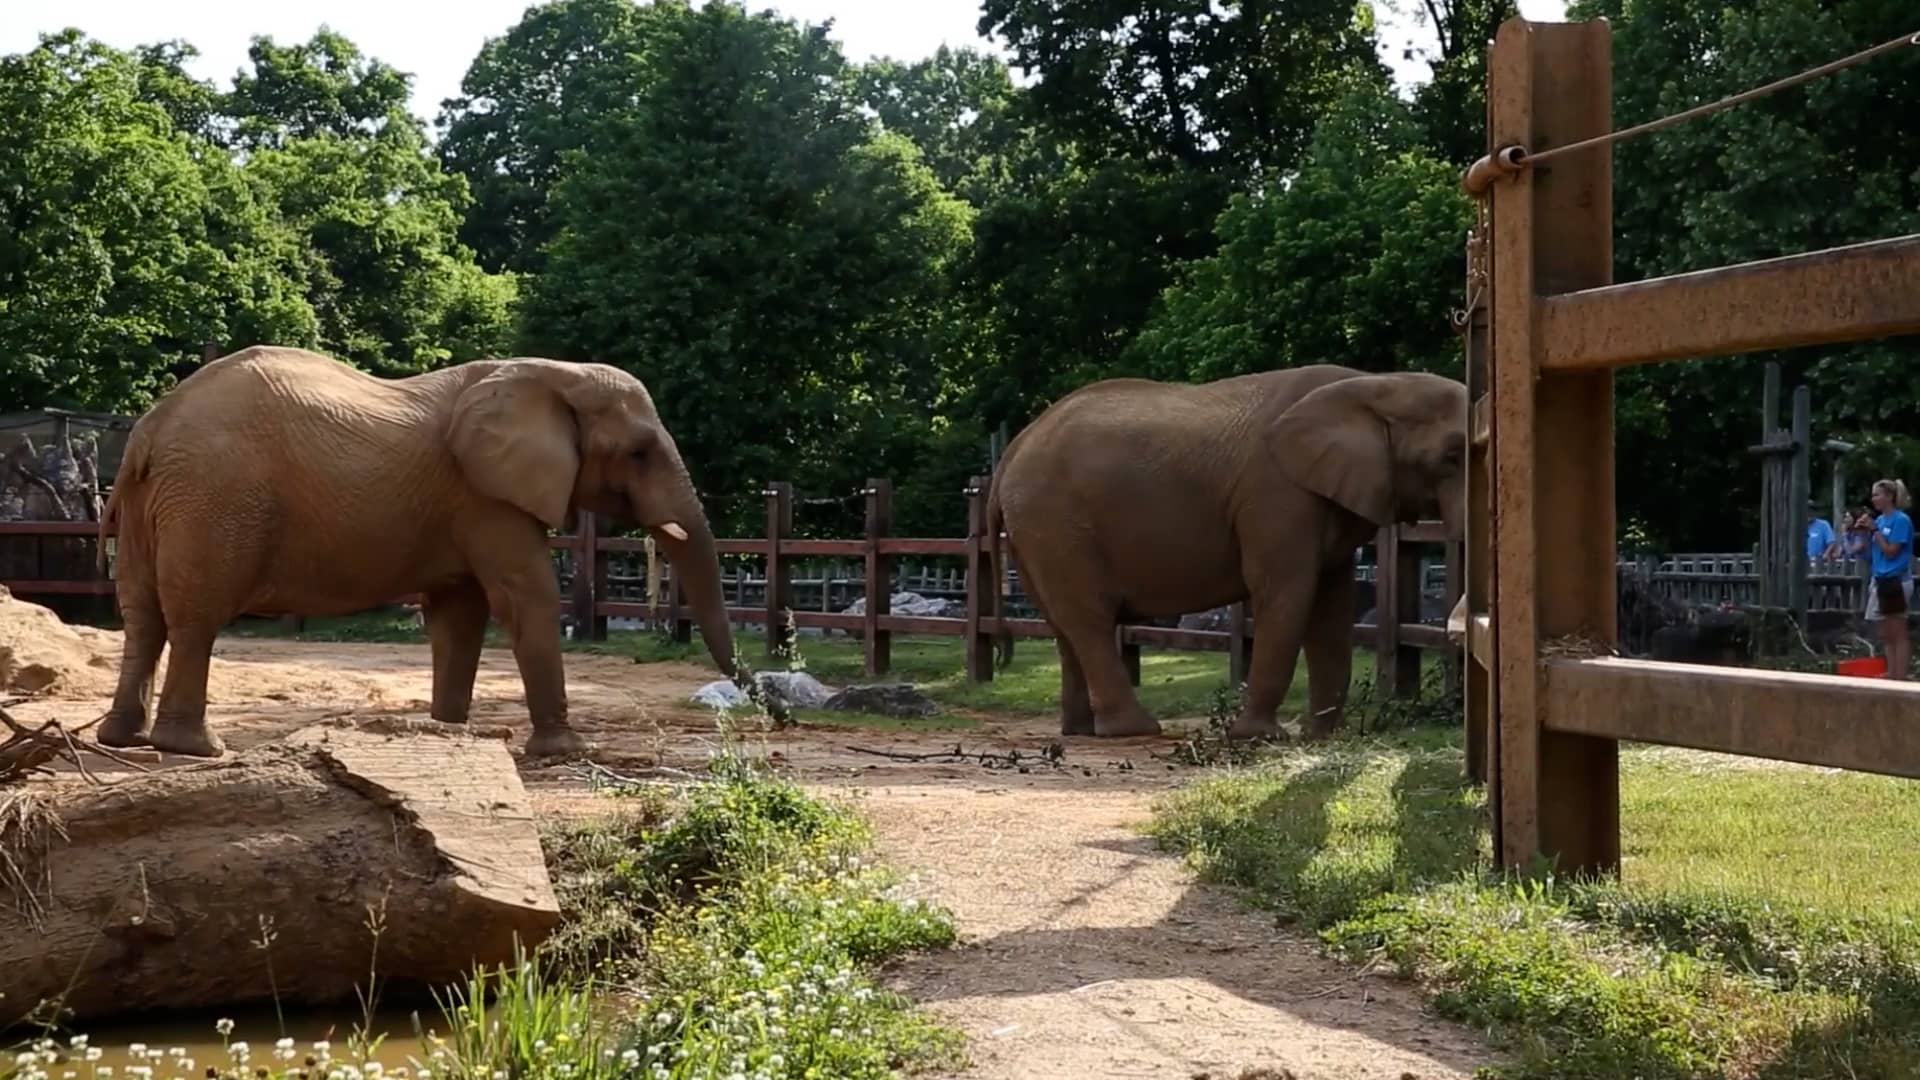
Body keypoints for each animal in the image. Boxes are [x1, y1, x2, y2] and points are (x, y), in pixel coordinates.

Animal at [94, 345, 736, 759]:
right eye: (640, 452)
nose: (746, 693)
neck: (556, 372)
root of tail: (149, 429)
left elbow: (460, 612)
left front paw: (448, 734)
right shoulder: (485, 496)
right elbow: (524, 597)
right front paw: (564, 752)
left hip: (159, 502)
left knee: (143, 615)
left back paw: (122, 740)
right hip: (212, 498)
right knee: (195, 617)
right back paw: (194, 749)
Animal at [984, 364, 1466, 740]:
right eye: (1452, 456)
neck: (1374, 382)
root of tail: (1012, 449)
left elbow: (1331, 607)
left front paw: (1322, 737)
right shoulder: (1277, 495)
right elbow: (1286, 594)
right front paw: (1260, 738)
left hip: (1037, 530)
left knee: (1062, 624)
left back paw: (1081, 731)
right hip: (1056, 522)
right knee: (1090, 620)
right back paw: (1135, 730)